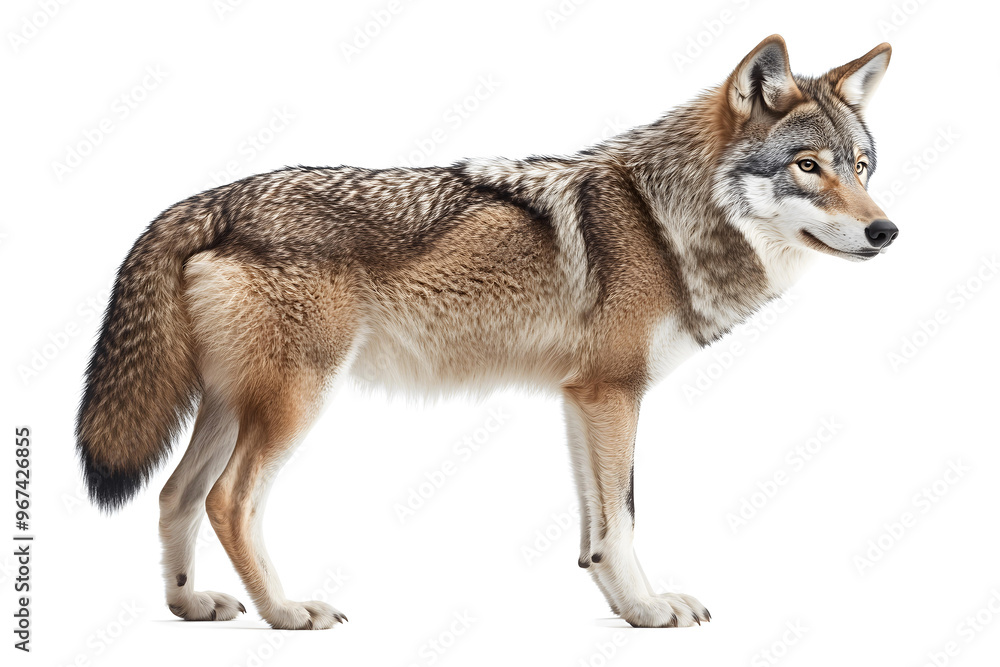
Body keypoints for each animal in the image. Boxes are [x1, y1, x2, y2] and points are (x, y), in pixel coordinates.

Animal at [76, 35, 897, 629]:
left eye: (860, 166)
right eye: (807, 166)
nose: (885, 231)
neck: (665, 224)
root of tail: (205, 200)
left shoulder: (582, 397)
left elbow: (594, 530)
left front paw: (623, 608)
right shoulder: (614, 394)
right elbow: (625, 517)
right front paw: (648, 608)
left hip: (231, 406)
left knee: (175, 494)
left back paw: (189, 603)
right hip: (293, 405)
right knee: (227, 502)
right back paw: (285, 611)